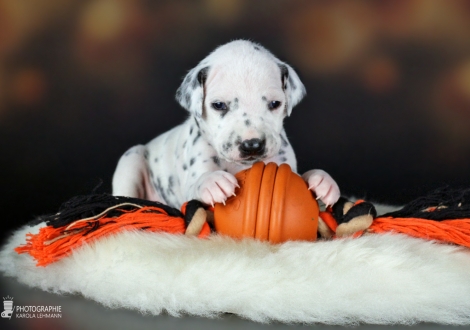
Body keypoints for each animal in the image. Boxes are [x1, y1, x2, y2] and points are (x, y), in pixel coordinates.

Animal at [114, 39, 342, 209]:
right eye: (219, 105)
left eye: (275, 104)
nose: (252, 145)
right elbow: (197, 184)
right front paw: (212, 182)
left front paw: (321, 180)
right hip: (131, 159)